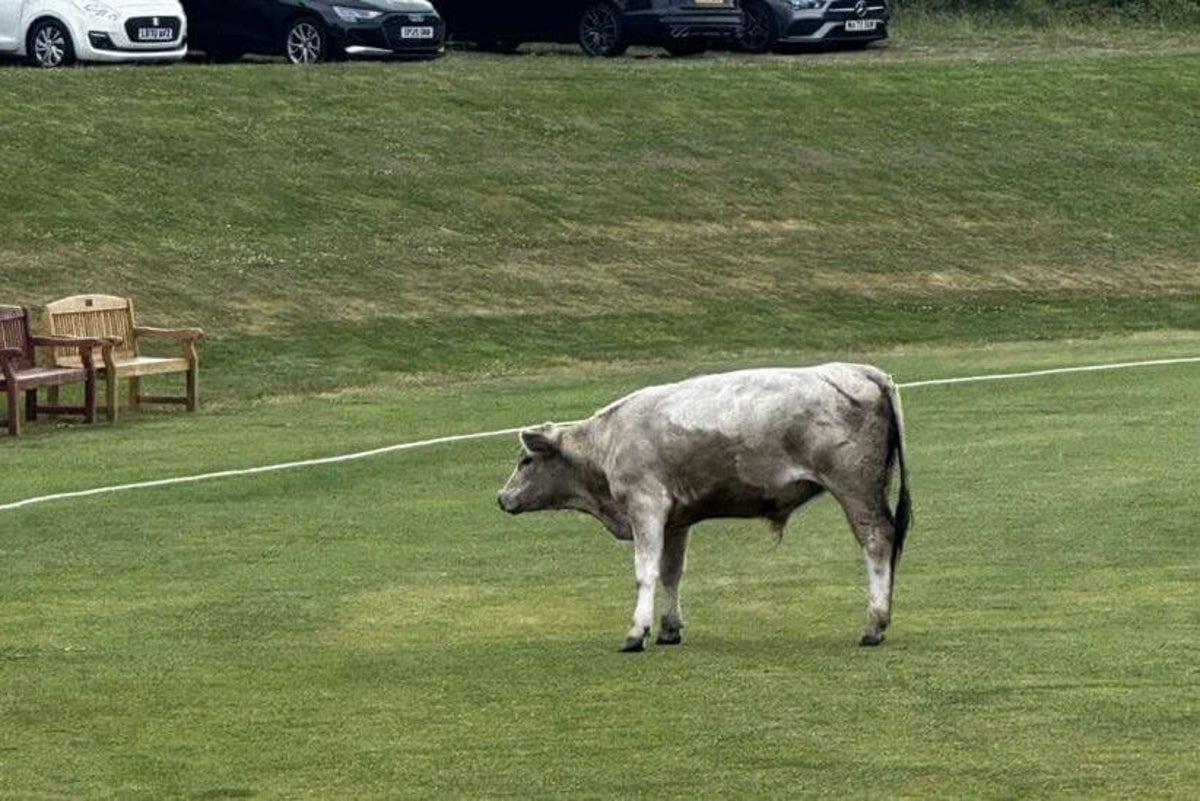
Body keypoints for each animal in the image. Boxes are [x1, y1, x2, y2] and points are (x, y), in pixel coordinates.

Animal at [497, 363, 911, 652]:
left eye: (526, 461)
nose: (502, 498)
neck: (609, 440)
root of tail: (862, 370)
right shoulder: (676, 521)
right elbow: (671, 573)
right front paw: (669, 627)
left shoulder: (645, 506)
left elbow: (645, 572)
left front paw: (637, 631)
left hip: (855, 489)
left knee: (877, 543)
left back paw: (874, 624)